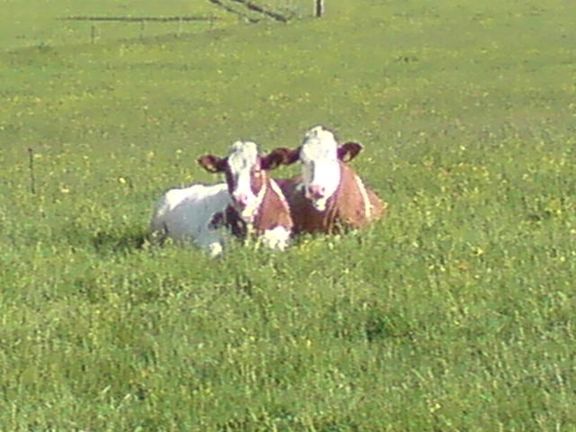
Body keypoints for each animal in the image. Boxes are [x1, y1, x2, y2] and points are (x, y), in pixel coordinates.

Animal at [151, 142, 292, 256]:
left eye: (257, 170)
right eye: (227, 171)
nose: (240, 197)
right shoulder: (206, 237)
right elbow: (216, 251)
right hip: (156, 228)